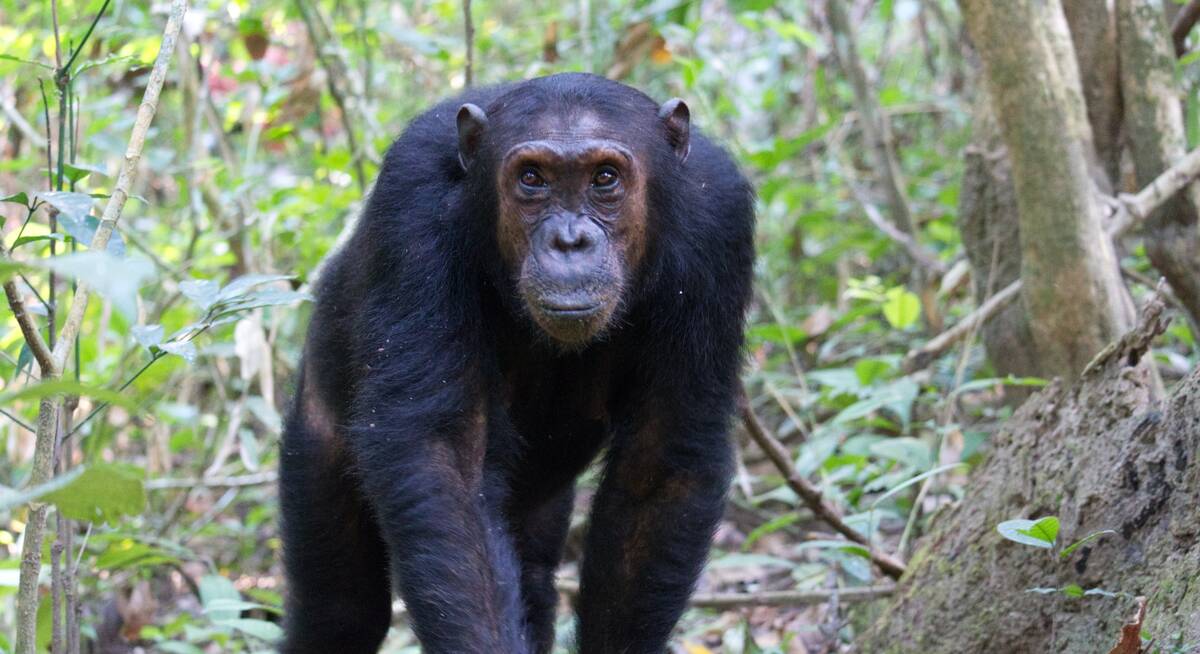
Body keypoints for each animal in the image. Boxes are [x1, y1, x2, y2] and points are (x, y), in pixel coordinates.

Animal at [279, 72, 748, 652]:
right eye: (532, 179)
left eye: (605, 178)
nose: (569, 240)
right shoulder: (411, 204)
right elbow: (443, 457)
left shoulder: (719, 225)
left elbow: (660, 463)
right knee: (341, 609)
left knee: (534, 578)